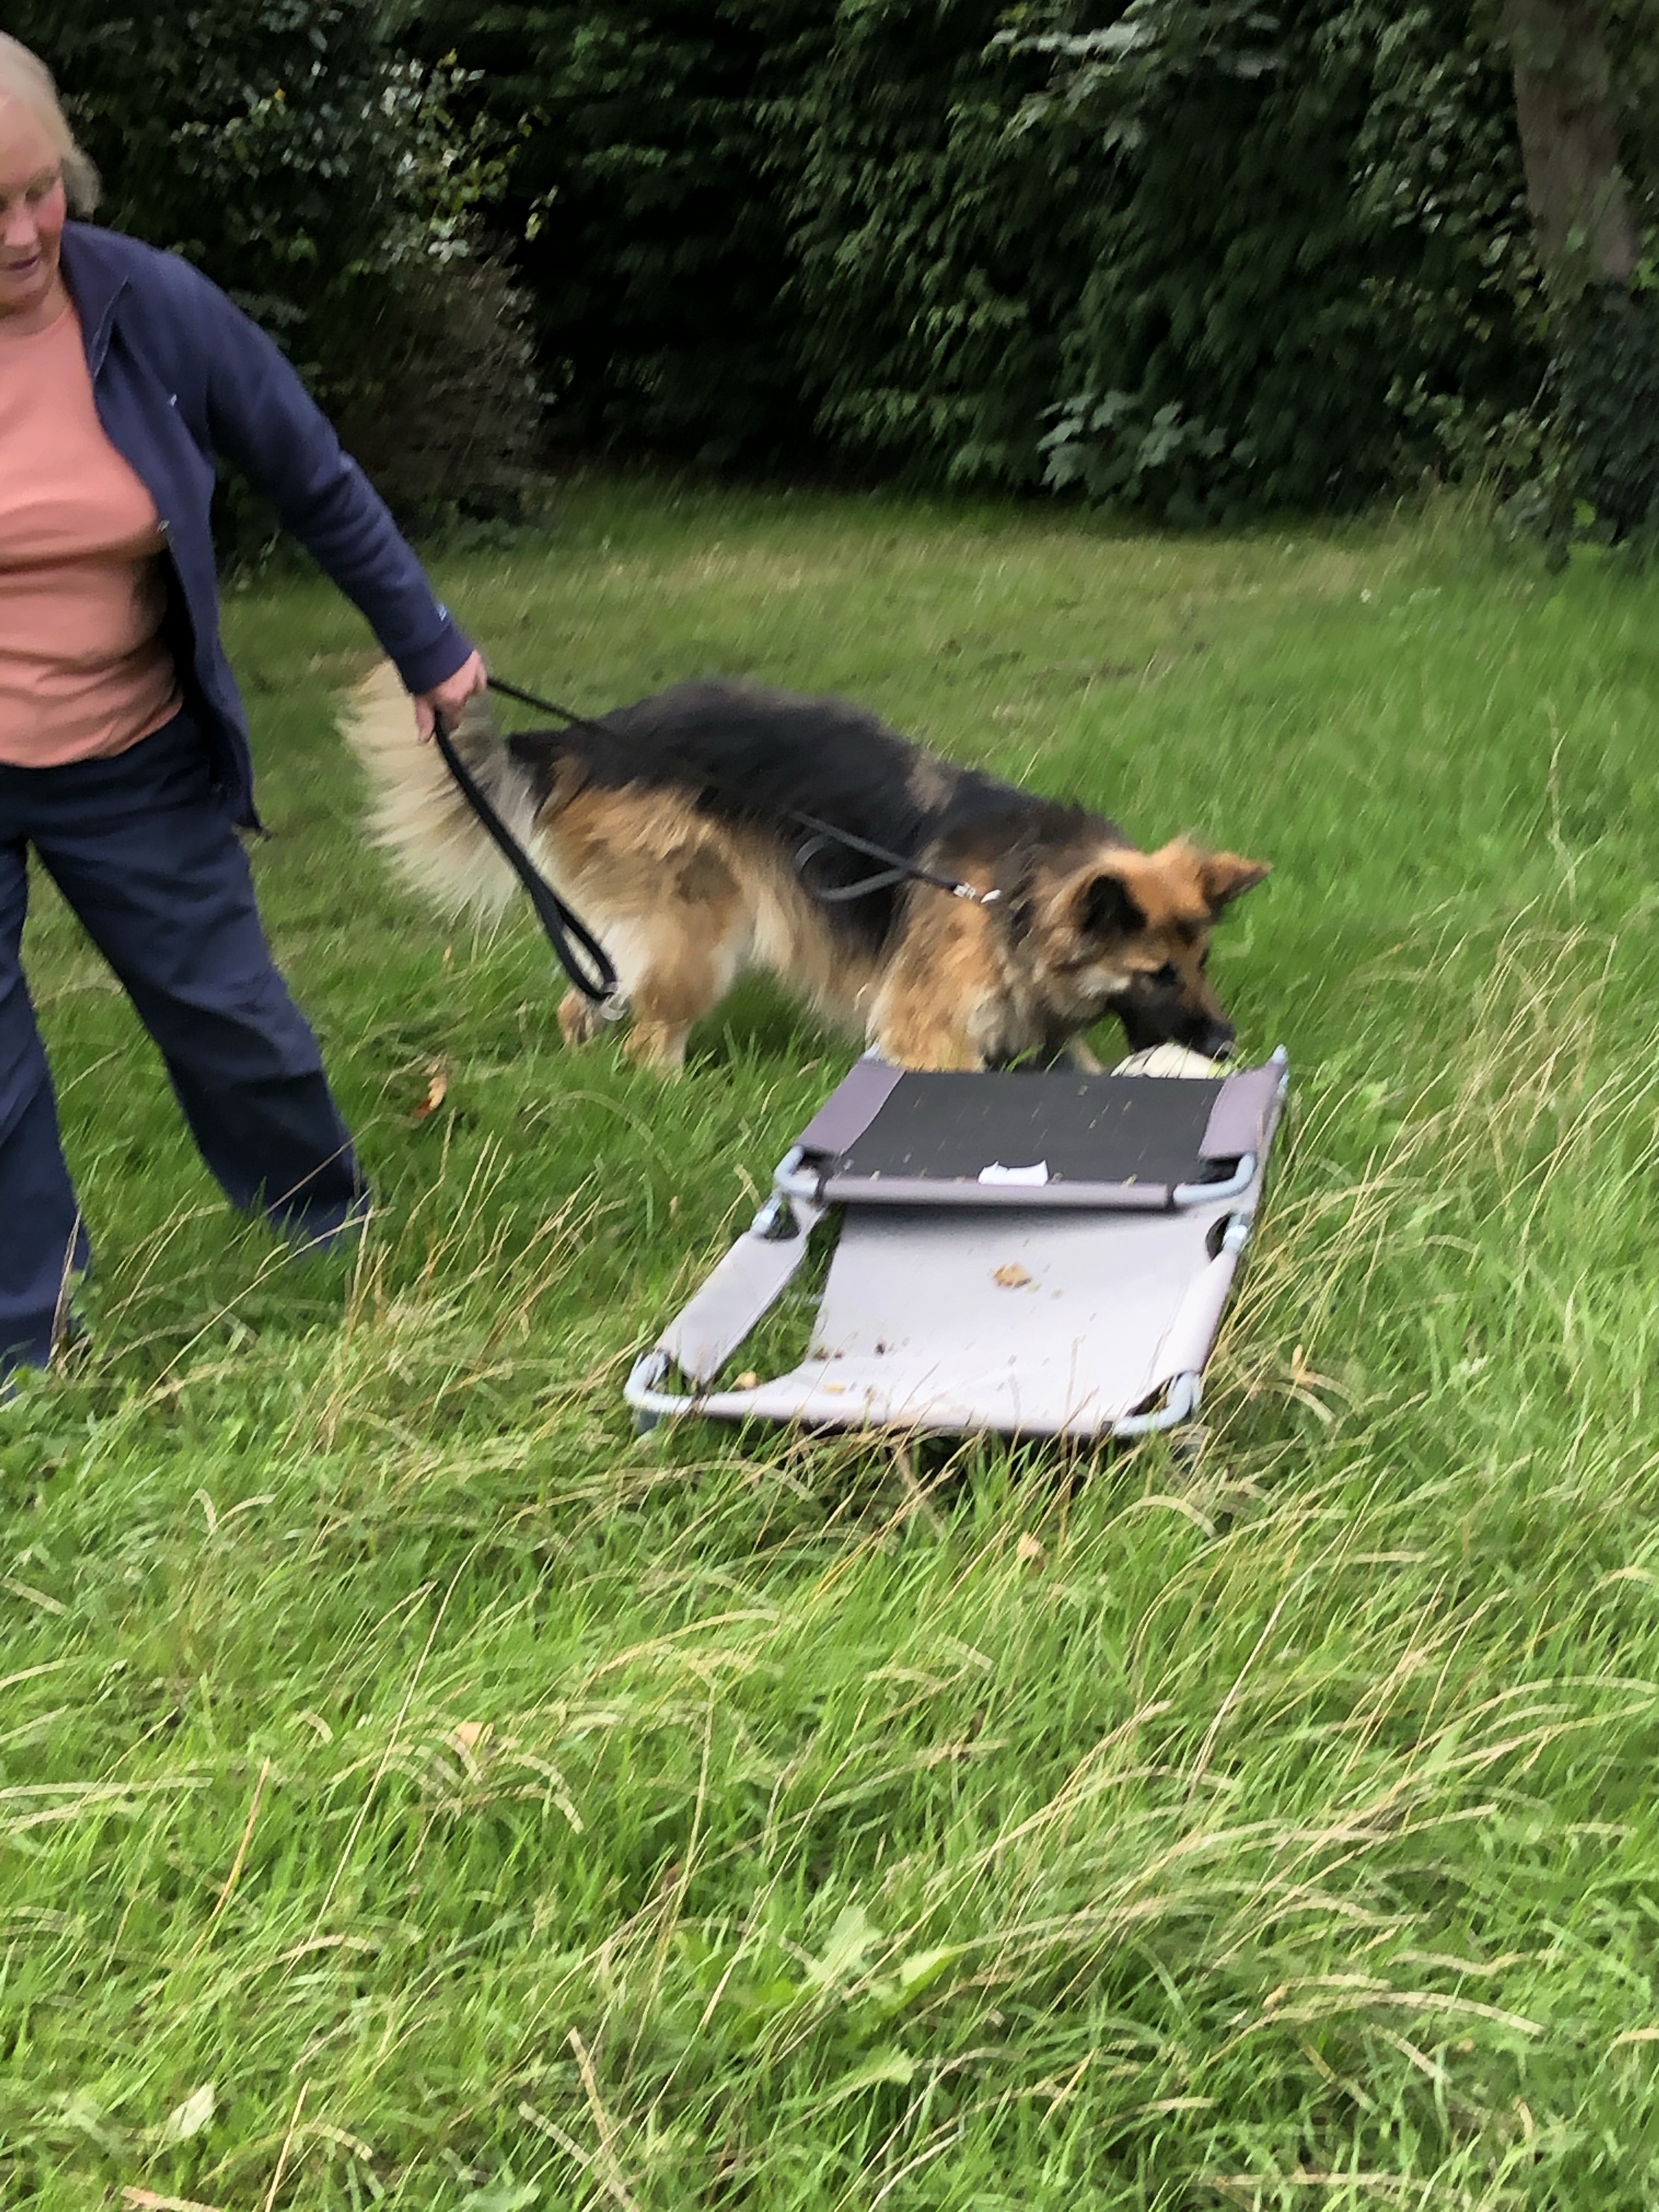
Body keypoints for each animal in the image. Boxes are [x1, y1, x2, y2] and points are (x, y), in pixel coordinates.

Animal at [344, 664, 1269, 1073]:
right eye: (1155, 974)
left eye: (1203, 962)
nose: (1226, 1046)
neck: (1014, 896)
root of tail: (580, 738)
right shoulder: (927, 1027)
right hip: (700, 925)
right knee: (650, 1033)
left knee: (587, 1001)